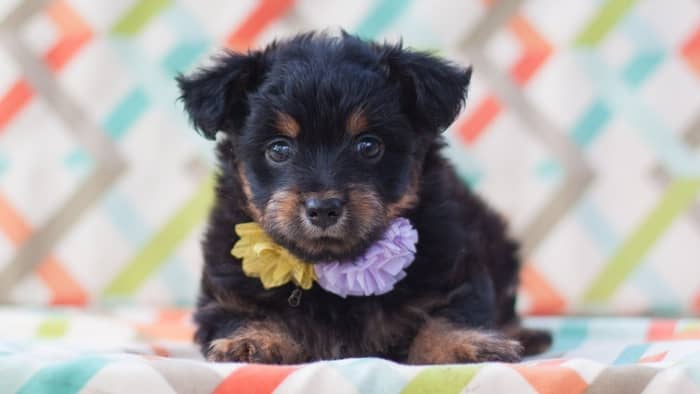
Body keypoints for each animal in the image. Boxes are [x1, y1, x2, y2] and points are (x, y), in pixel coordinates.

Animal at [178, 32, 548, 364]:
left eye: (368, 145)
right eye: (278, 149)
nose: (323, 208)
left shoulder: (454, 264)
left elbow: (452, 312)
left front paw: (466, 344)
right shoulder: (227, 288)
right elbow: (242, 312)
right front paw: (251, 340)